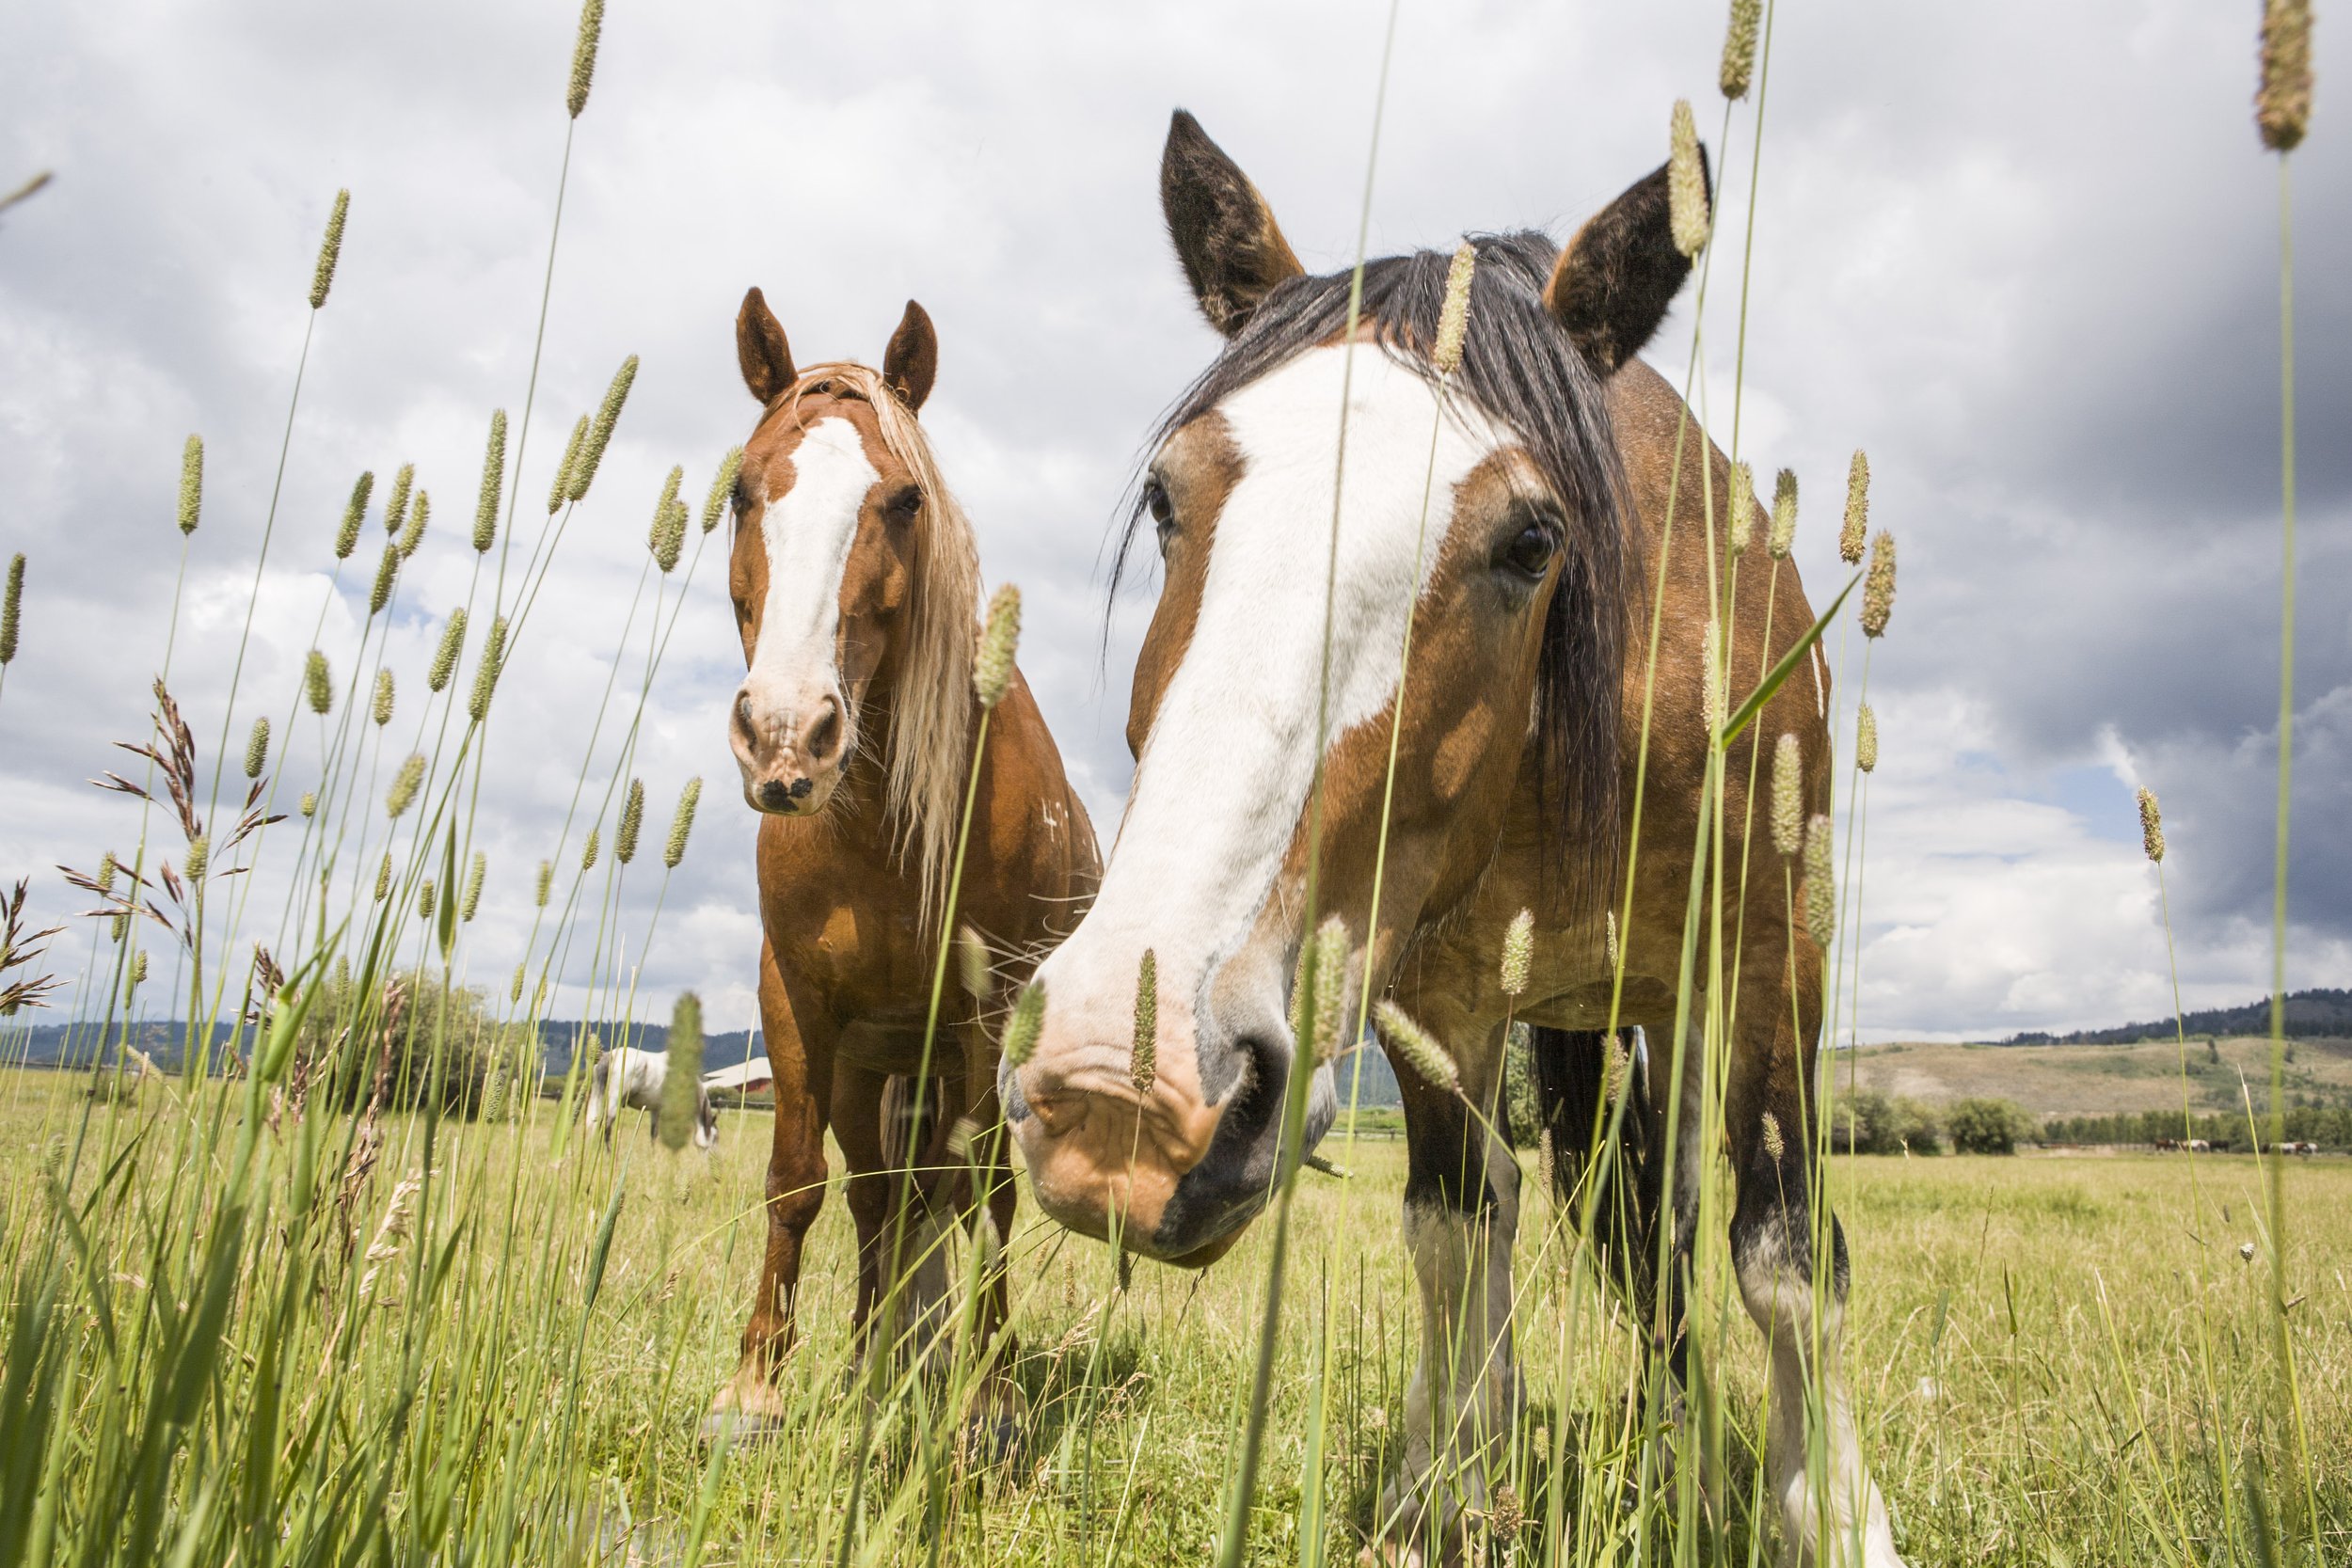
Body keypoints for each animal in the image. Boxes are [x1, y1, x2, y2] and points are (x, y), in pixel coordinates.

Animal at [584, 1044, 718, 1150]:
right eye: (715, 1138)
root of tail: (611, 1055)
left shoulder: (655, 1109)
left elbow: (653, 1134)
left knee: (591, 1123)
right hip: (613, 1104)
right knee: (605, 1128)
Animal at [701, 293, 1100, 1440]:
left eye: (905, 498)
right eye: (741, 489)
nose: (786, 734)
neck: (879, 830)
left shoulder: (986, 1010)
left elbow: (989, 1195)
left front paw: (989, 1398)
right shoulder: (795, 999)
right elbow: (795, 1182)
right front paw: (754, 1387)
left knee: (952, 1192)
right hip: (864, 1069)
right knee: (882, 1196)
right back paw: (871, 1362)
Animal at [1000, 111, 1908, 1567]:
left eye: (1530, 538)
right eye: (1164, 498)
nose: (1118, 1084)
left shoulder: (1774, 955)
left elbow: (1782, 1257)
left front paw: (1825, 1510)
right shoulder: (1424, 992)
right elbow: (1450, 1228)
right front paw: (1446, 1488)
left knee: (1667, 1232)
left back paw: (1677, 1447)